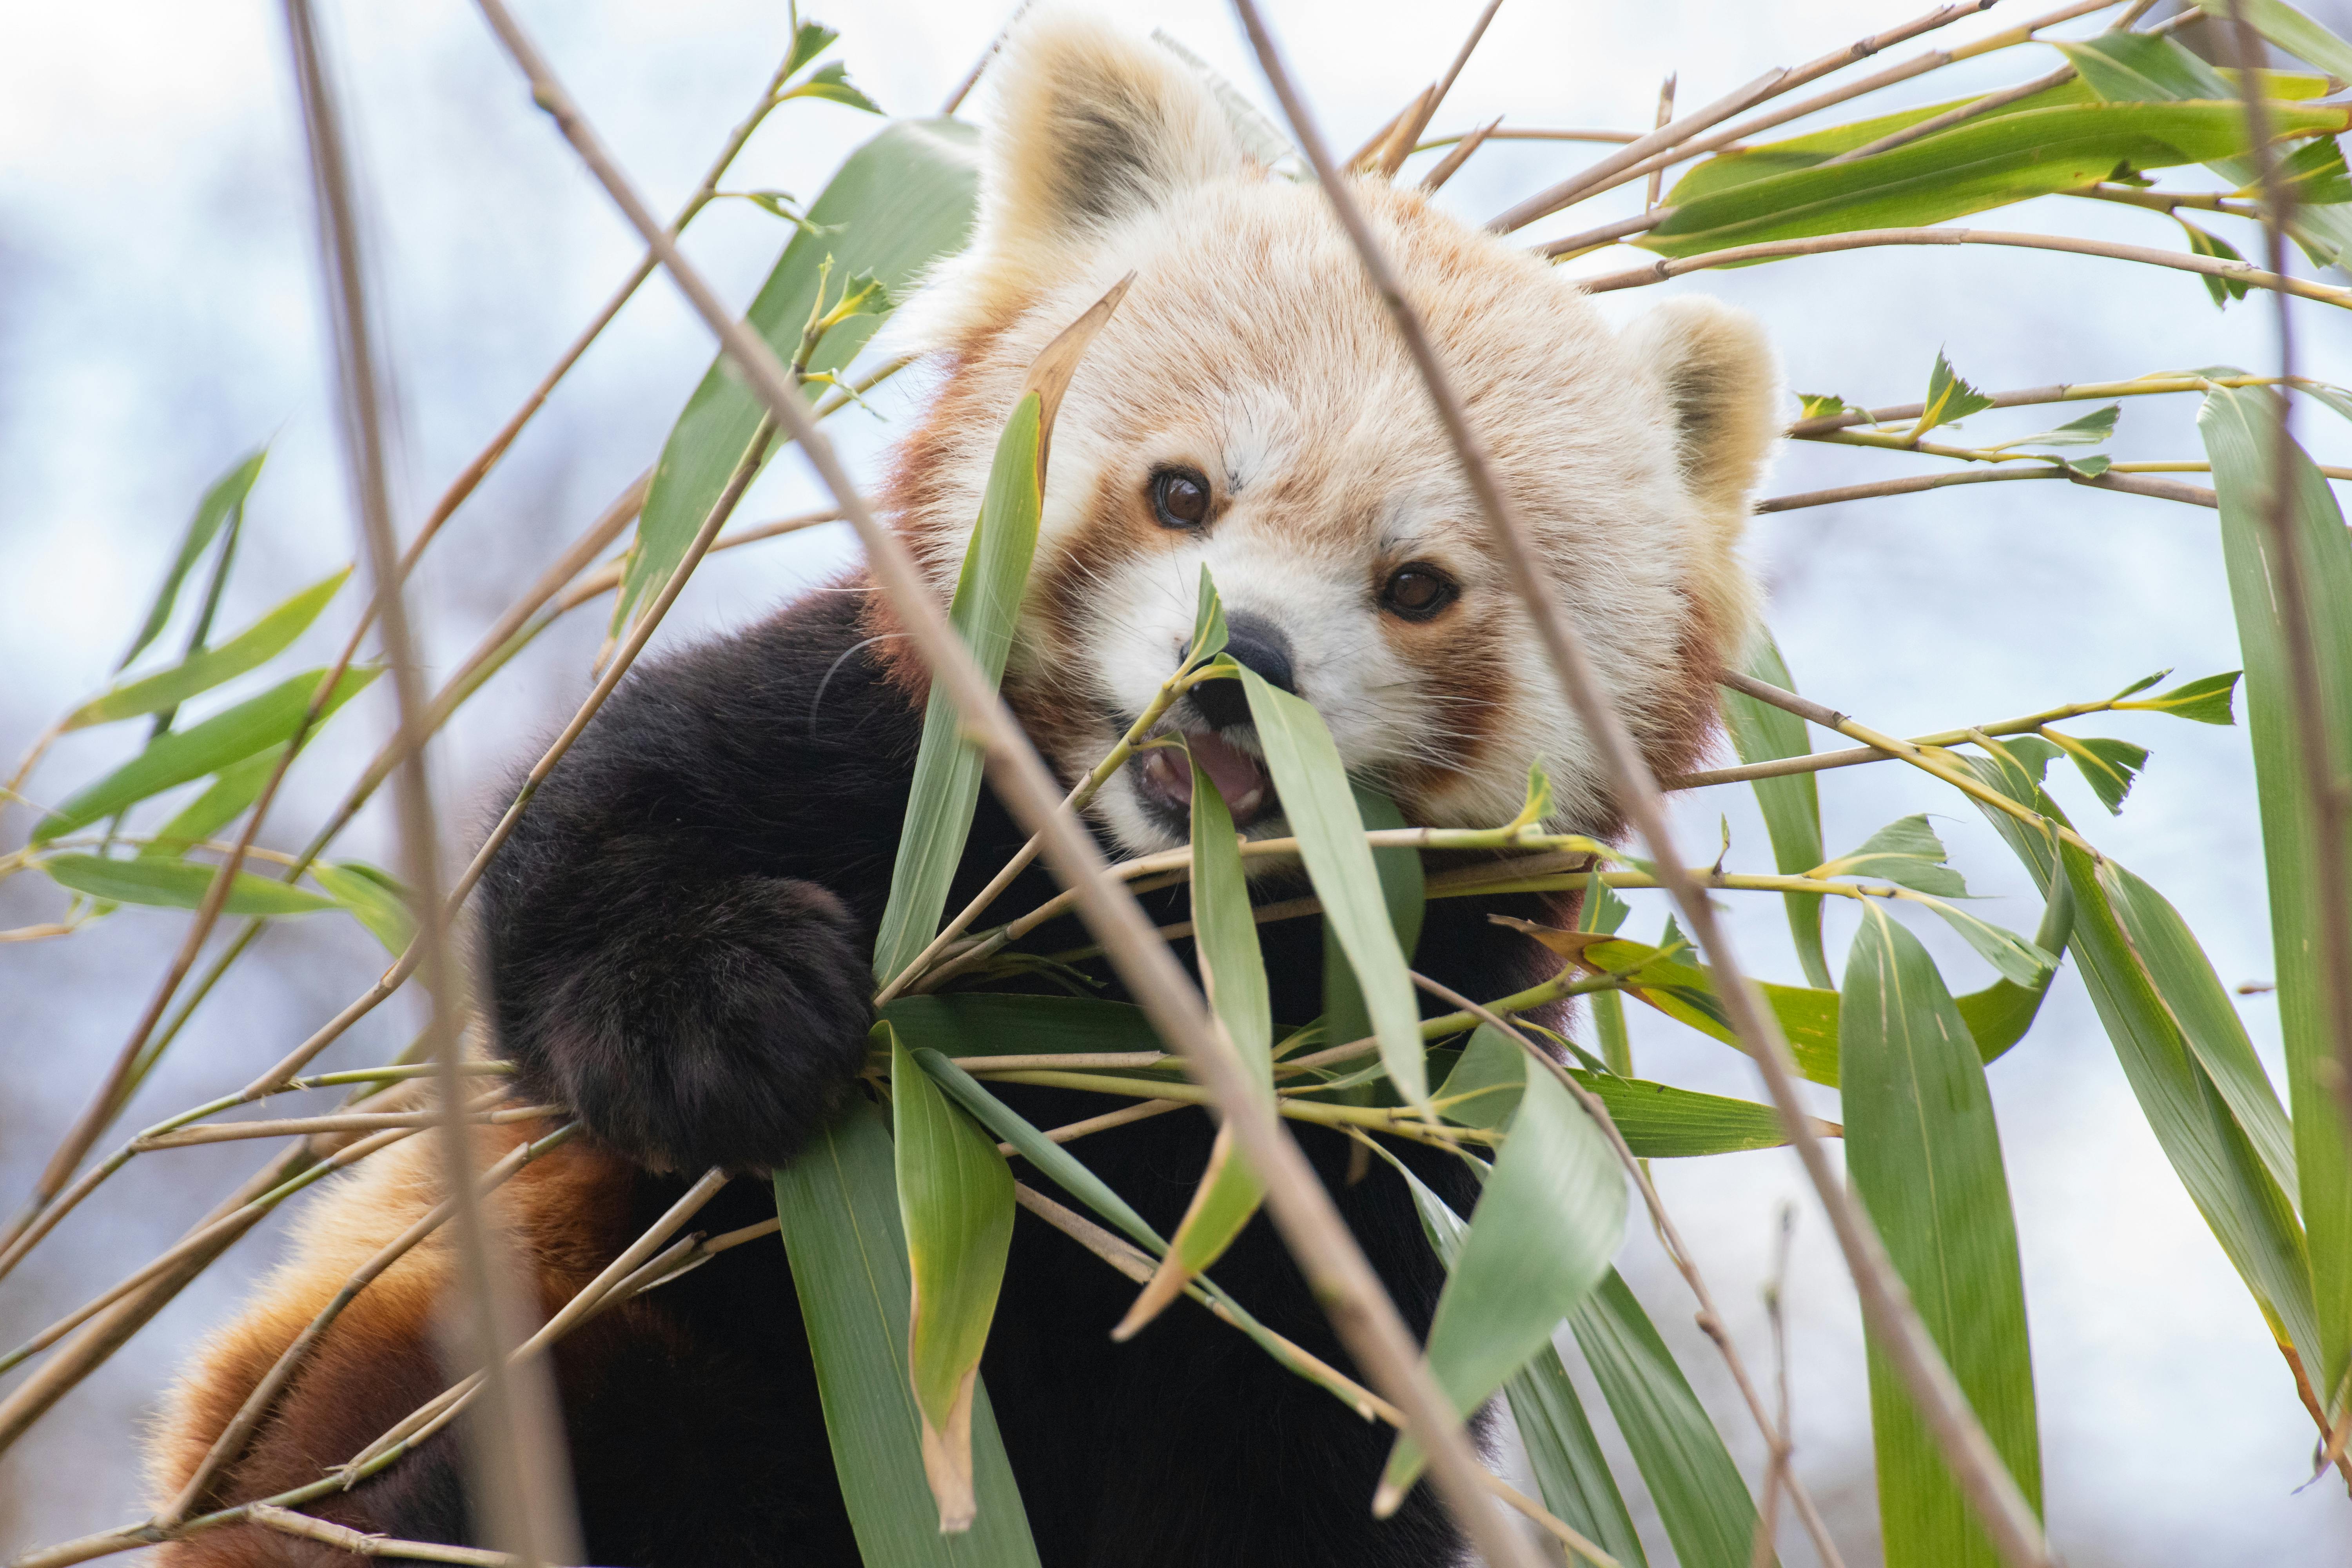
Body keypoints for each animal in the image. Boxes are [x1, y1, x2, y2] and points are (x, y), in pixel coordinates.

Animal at [147, 6, 1769, 1561]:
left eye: (1417, 584)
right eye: (1183, 492)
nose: (1234, 657)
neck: (1159, 937)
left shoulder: (1408, 1124)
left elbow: (1310, 1438)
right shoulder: (873, 733)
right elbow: (595, 824)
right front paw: (715, 1011)